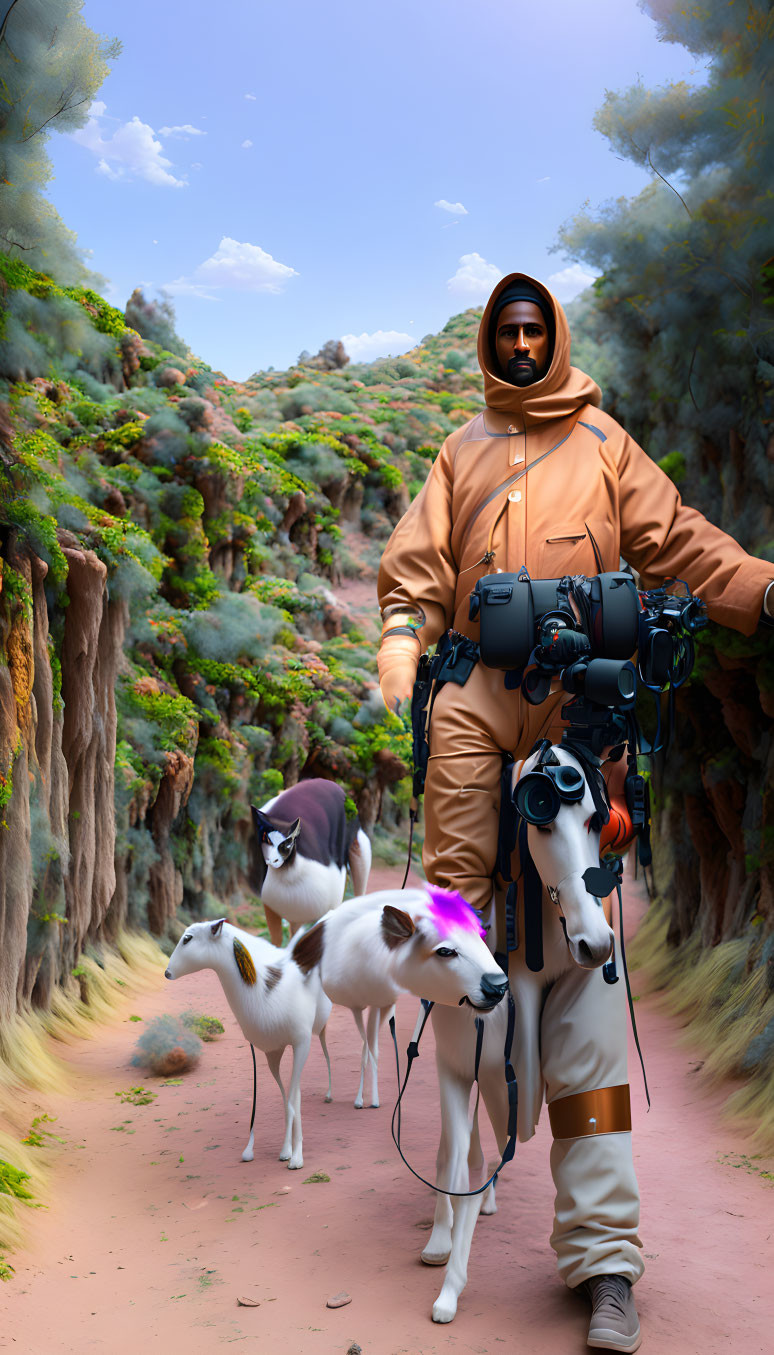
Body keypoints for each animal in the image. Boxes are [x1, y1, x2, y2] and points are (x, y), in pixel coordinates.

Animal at [165, 915, 332, 1170]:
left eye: (187, 938)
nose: (167, 972)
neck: (266, 993)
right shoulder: (270, 1052)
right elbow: (285, 1098)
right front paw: (283, 1152)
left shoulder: (301, 1044)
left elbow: (294, 1099)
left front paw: (297, 1159)